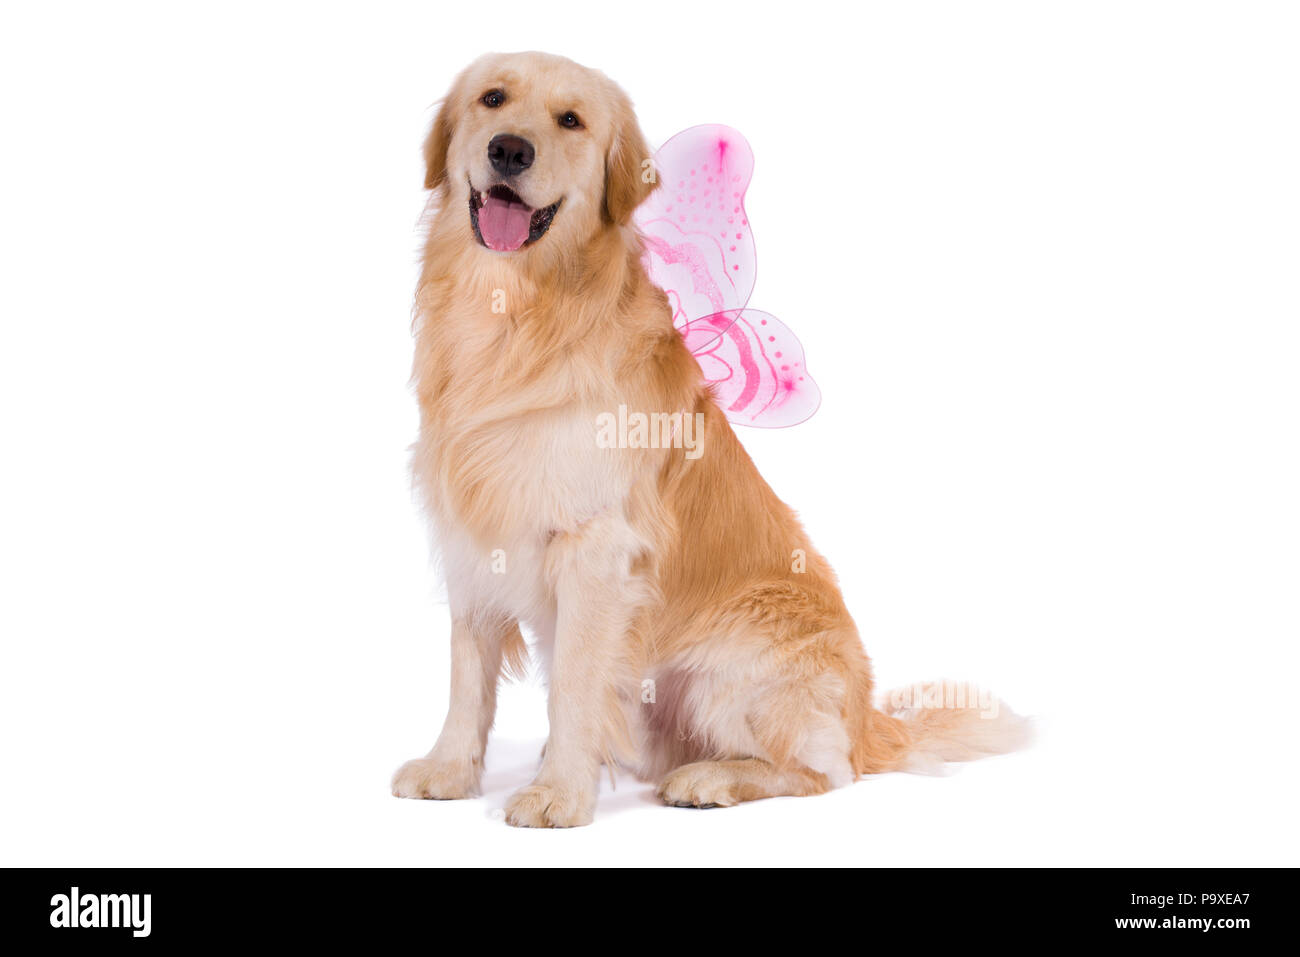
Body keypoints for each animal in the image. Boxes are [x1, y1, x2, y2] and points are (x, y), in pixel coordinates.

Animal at [390, 52, 1029, 826]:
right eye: (493, 99)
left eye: (571, 120)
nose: (510, 149)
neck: (512, 311)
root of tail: (868, 717)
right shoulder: (472, 524)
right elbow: (467, 671)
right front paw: (451, 768)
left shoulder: (596, 546)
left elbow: (572, 684)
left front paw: (559, 793)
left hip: (727, 669)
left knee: (825, 771)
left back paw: (710, 779)